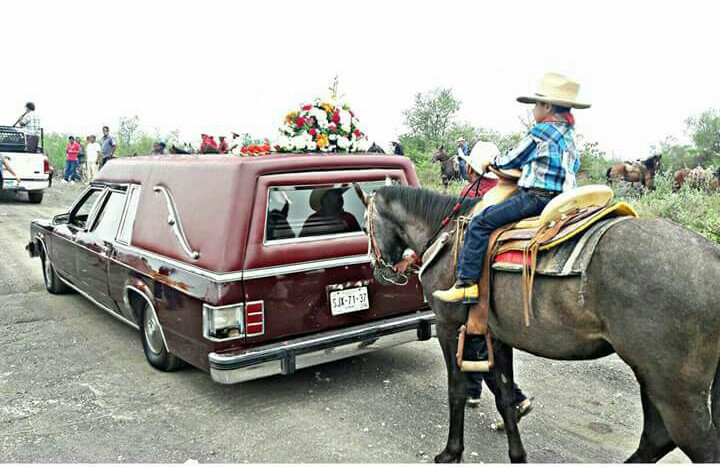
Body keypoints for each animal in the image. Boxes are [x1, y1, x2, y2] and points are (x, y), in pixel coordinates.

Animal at [360, 181, 720, 462]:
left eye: (365, 224)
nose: (380, 270)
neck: (447, 236)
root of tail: (714, 256)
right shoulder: (494, 336)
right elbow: (505, 396)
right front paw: (517, 455)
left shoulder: (449, 327)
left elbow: (457, 389)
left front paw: (452, 451)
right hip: (655, 378)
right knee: (657, 439)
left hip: (672, 387)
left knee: (693, 444)